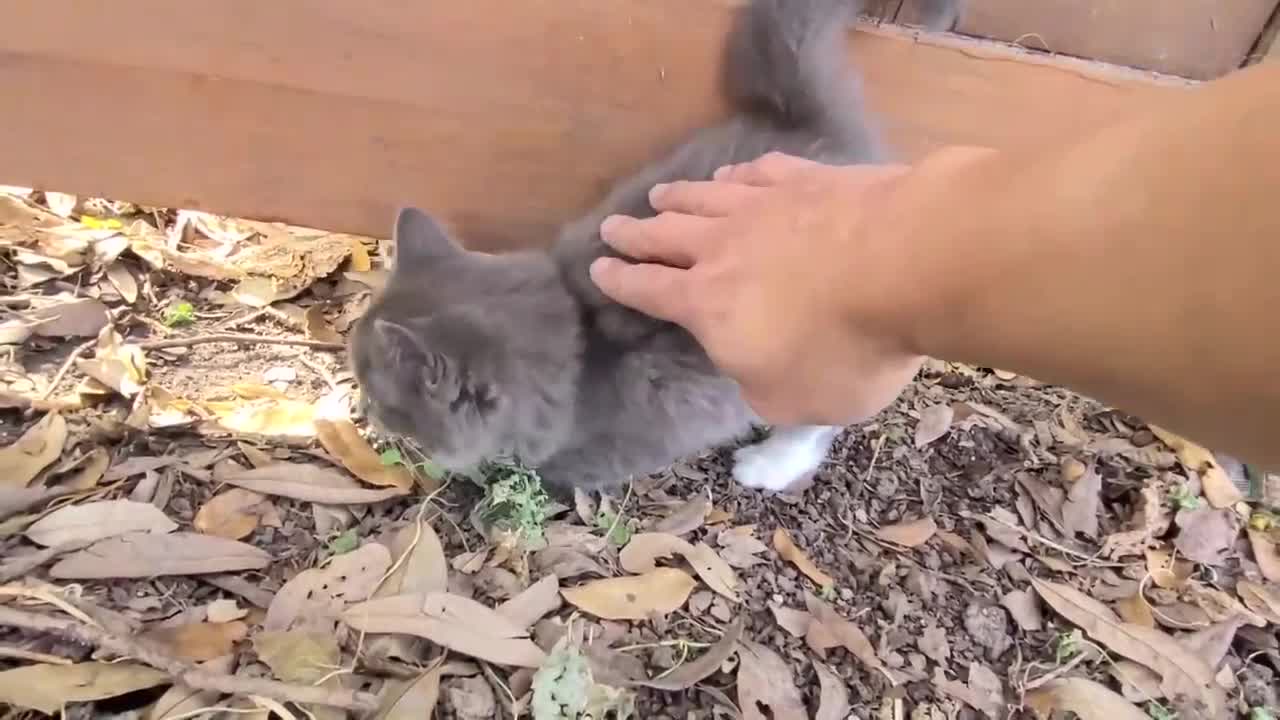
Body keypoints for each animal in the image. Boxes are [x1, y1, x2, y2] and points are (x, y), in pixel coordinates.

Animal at [350, 0, 942, 491]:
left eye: (381, 398)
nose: (363, 413)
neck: (577, 346)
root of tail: (815, 129)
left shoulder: (640, 435)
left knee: (821, 418)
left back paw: (769, 464)